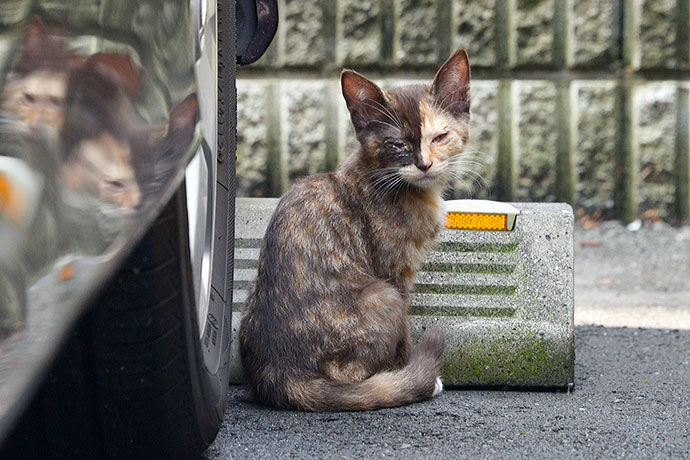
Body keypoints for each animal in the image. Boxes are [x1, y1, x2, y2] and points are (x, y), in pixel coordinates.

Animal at [239, 48, 470, 412]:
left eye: (440, 137)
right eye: (397, 145)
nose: (424, 164)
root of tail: (282, 375)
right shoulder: (395, 274)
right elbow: (404, 338)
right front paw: (407, 375)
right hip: (383, 297)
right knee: (351, 378)